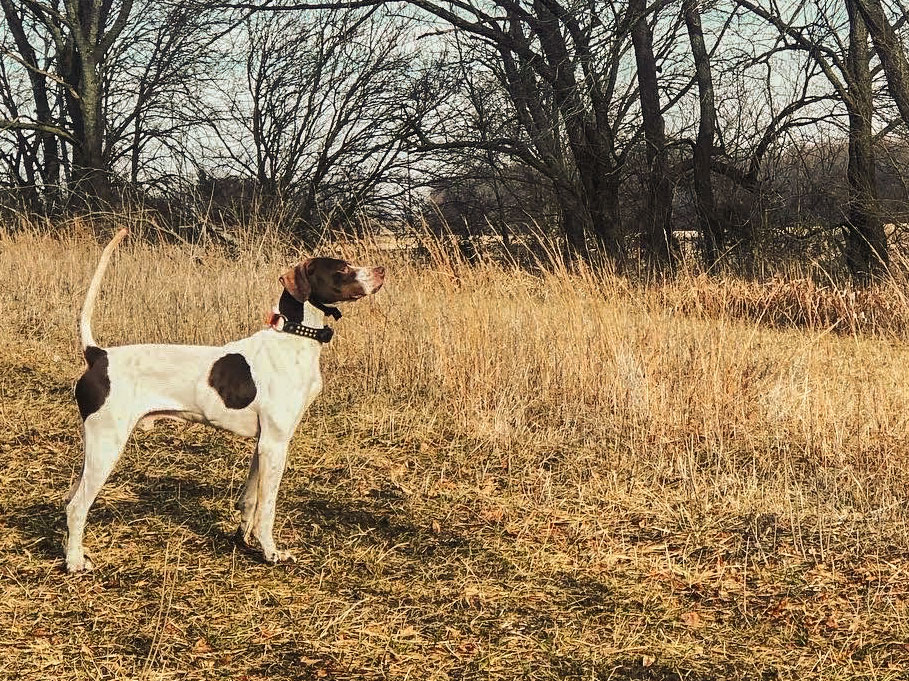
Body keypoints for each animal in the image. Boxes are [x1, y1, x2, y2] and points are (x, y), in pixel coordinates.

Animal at [65, 230, 384, 572]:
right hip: (107, 446)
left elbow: (250, 500)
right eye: (342, 269)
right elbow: (267, 507)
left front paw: (244, 539)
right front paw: (271, 552)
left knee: (70, 499)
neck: (292, 338)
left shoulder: (263, 445)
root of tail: (99, 355)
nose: (382, 270)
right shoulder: (276, 444)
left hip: (94, 448)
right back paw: (74, 562)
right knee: (77, 506)